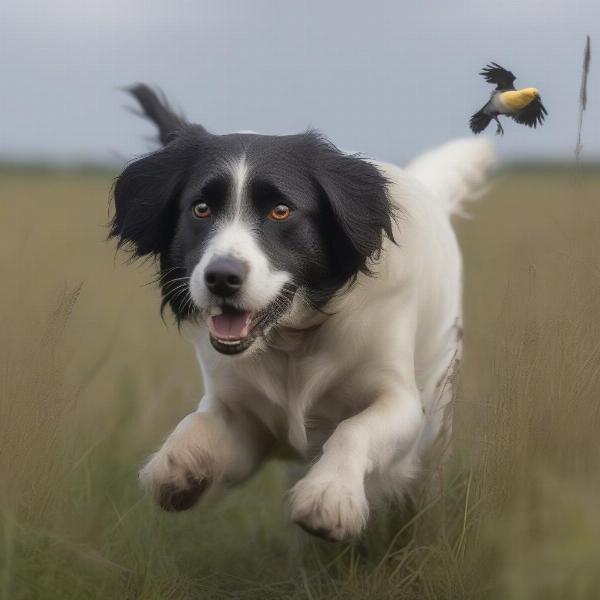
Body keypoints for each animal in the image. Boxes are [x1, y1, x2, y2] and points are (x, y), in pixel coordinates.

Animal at [110, 85, 494, 544]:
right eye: (200, 209)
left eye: (281, 210)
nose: (221, 277)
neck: (292, 340)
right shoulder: (245, 419)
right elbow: (199, 422)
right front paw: (175, 467)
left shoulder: (401, 400)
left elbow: (356, 428)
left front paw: (329, 497)